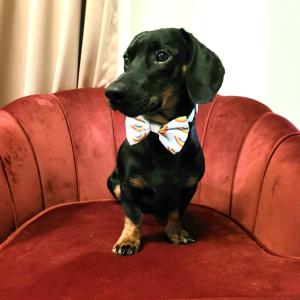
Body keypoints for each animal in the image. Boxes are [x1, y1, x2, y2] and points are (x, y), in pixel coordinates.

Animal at [104, 28, 224, 255]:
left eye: (162, 56)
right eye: (127, 59)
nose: (111, 93)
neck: (160, 136)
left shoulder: (188, 188)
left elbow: (176, 213)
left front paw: (175, 232)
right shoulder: (128, 188)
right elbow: (133, 216)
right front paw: (128, 240)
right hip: (113, 182)